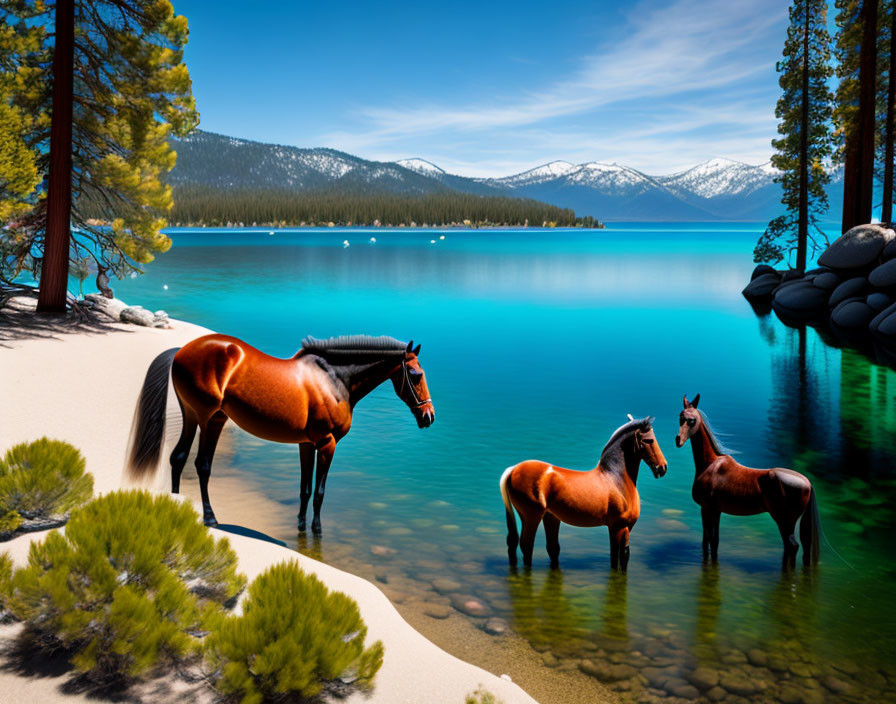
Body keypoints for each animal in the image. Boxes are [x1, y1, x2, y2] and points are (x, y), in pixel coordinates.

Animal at [126, 332, 434, 532]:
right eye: (416, 375)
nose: (429, 416)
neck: (334, 380)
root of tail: (181, 350)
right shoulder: (327, 444)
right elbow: (320, 492)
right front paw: (317, 529)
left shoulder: (307, 444)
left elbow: (305, 489)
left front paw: (300, 525)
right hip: (207, 418)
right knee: (201, 465)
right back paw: (210, 518)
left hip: (195, 416)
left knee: (178, 458)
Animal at [500, 418, 668, 572]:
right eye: (649, 440)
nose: (662, 468)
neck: (617, 480)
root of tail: (514, 469)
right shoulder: (616, 527)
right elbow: (614, 559)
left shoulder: (628, 527)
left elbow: (624, 556)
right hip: (532, 516)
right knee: (527, 546)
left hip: (550, 517)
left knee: (550, 548)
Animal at [672, 394, 820, 568]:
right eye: (680, 417)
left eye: (692, 420)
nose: (678, 440)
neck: (710, 465)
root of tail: (808, 483)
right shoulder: (716, 511)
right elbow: (714, 543)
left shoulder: (706, 509)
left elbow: (706, 541)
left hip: (784, 521)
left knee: (792, 546)